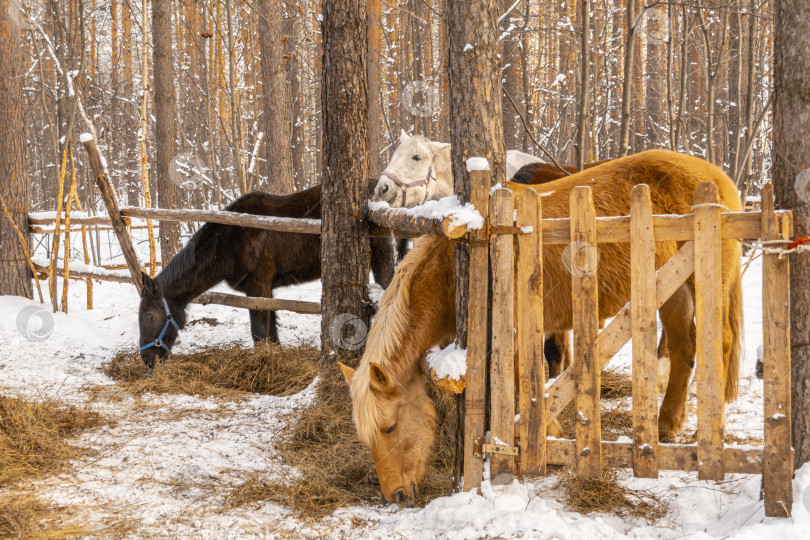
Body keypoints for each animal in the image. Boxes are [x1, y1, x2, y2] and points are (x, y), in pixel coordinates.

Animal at [140, 180, 398, 368]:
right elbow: (271, 332)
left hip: (382, 258)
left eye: (148, 316)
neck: (229, 240)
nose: (146, 359)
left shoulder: (257, 286)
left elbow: (259, 332)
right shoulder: (267, 289)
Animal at [338, 150, 740, 504]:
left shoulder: (515, 333)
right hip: (670, 288)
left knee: (718, 343)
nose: (395, 495)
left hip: (702, 282)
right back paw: (667, 424)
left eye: (390, 427)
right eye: (368, 437)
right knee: (684, 348)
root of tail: (718, 177)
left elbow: (522, 384)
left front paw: (549, 437)